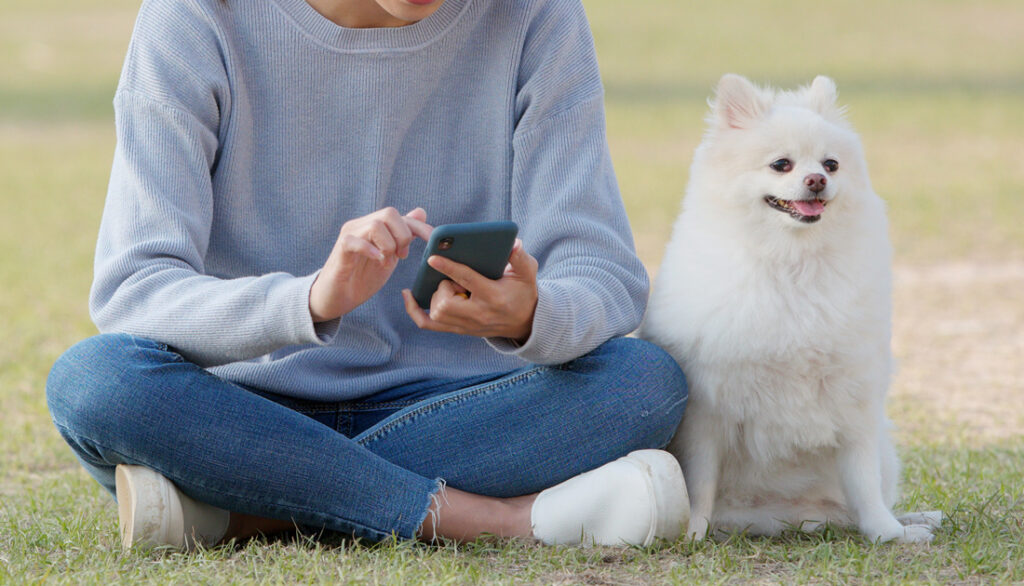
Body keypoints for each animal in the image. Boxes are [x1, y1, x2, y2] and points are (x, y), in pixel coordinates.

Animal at [638, 74, 942, 545]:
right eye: (781, 164)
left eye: (831, 164)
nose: (816, 180)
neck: (791, 262)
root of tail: (773, 515)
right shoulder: (707, 413)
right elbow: (700, 483)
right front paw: (693, 533)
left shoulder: (854, 401)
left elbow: (864, 482)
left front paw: (886, 533)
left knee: (856, 502)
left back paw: (911, 521)